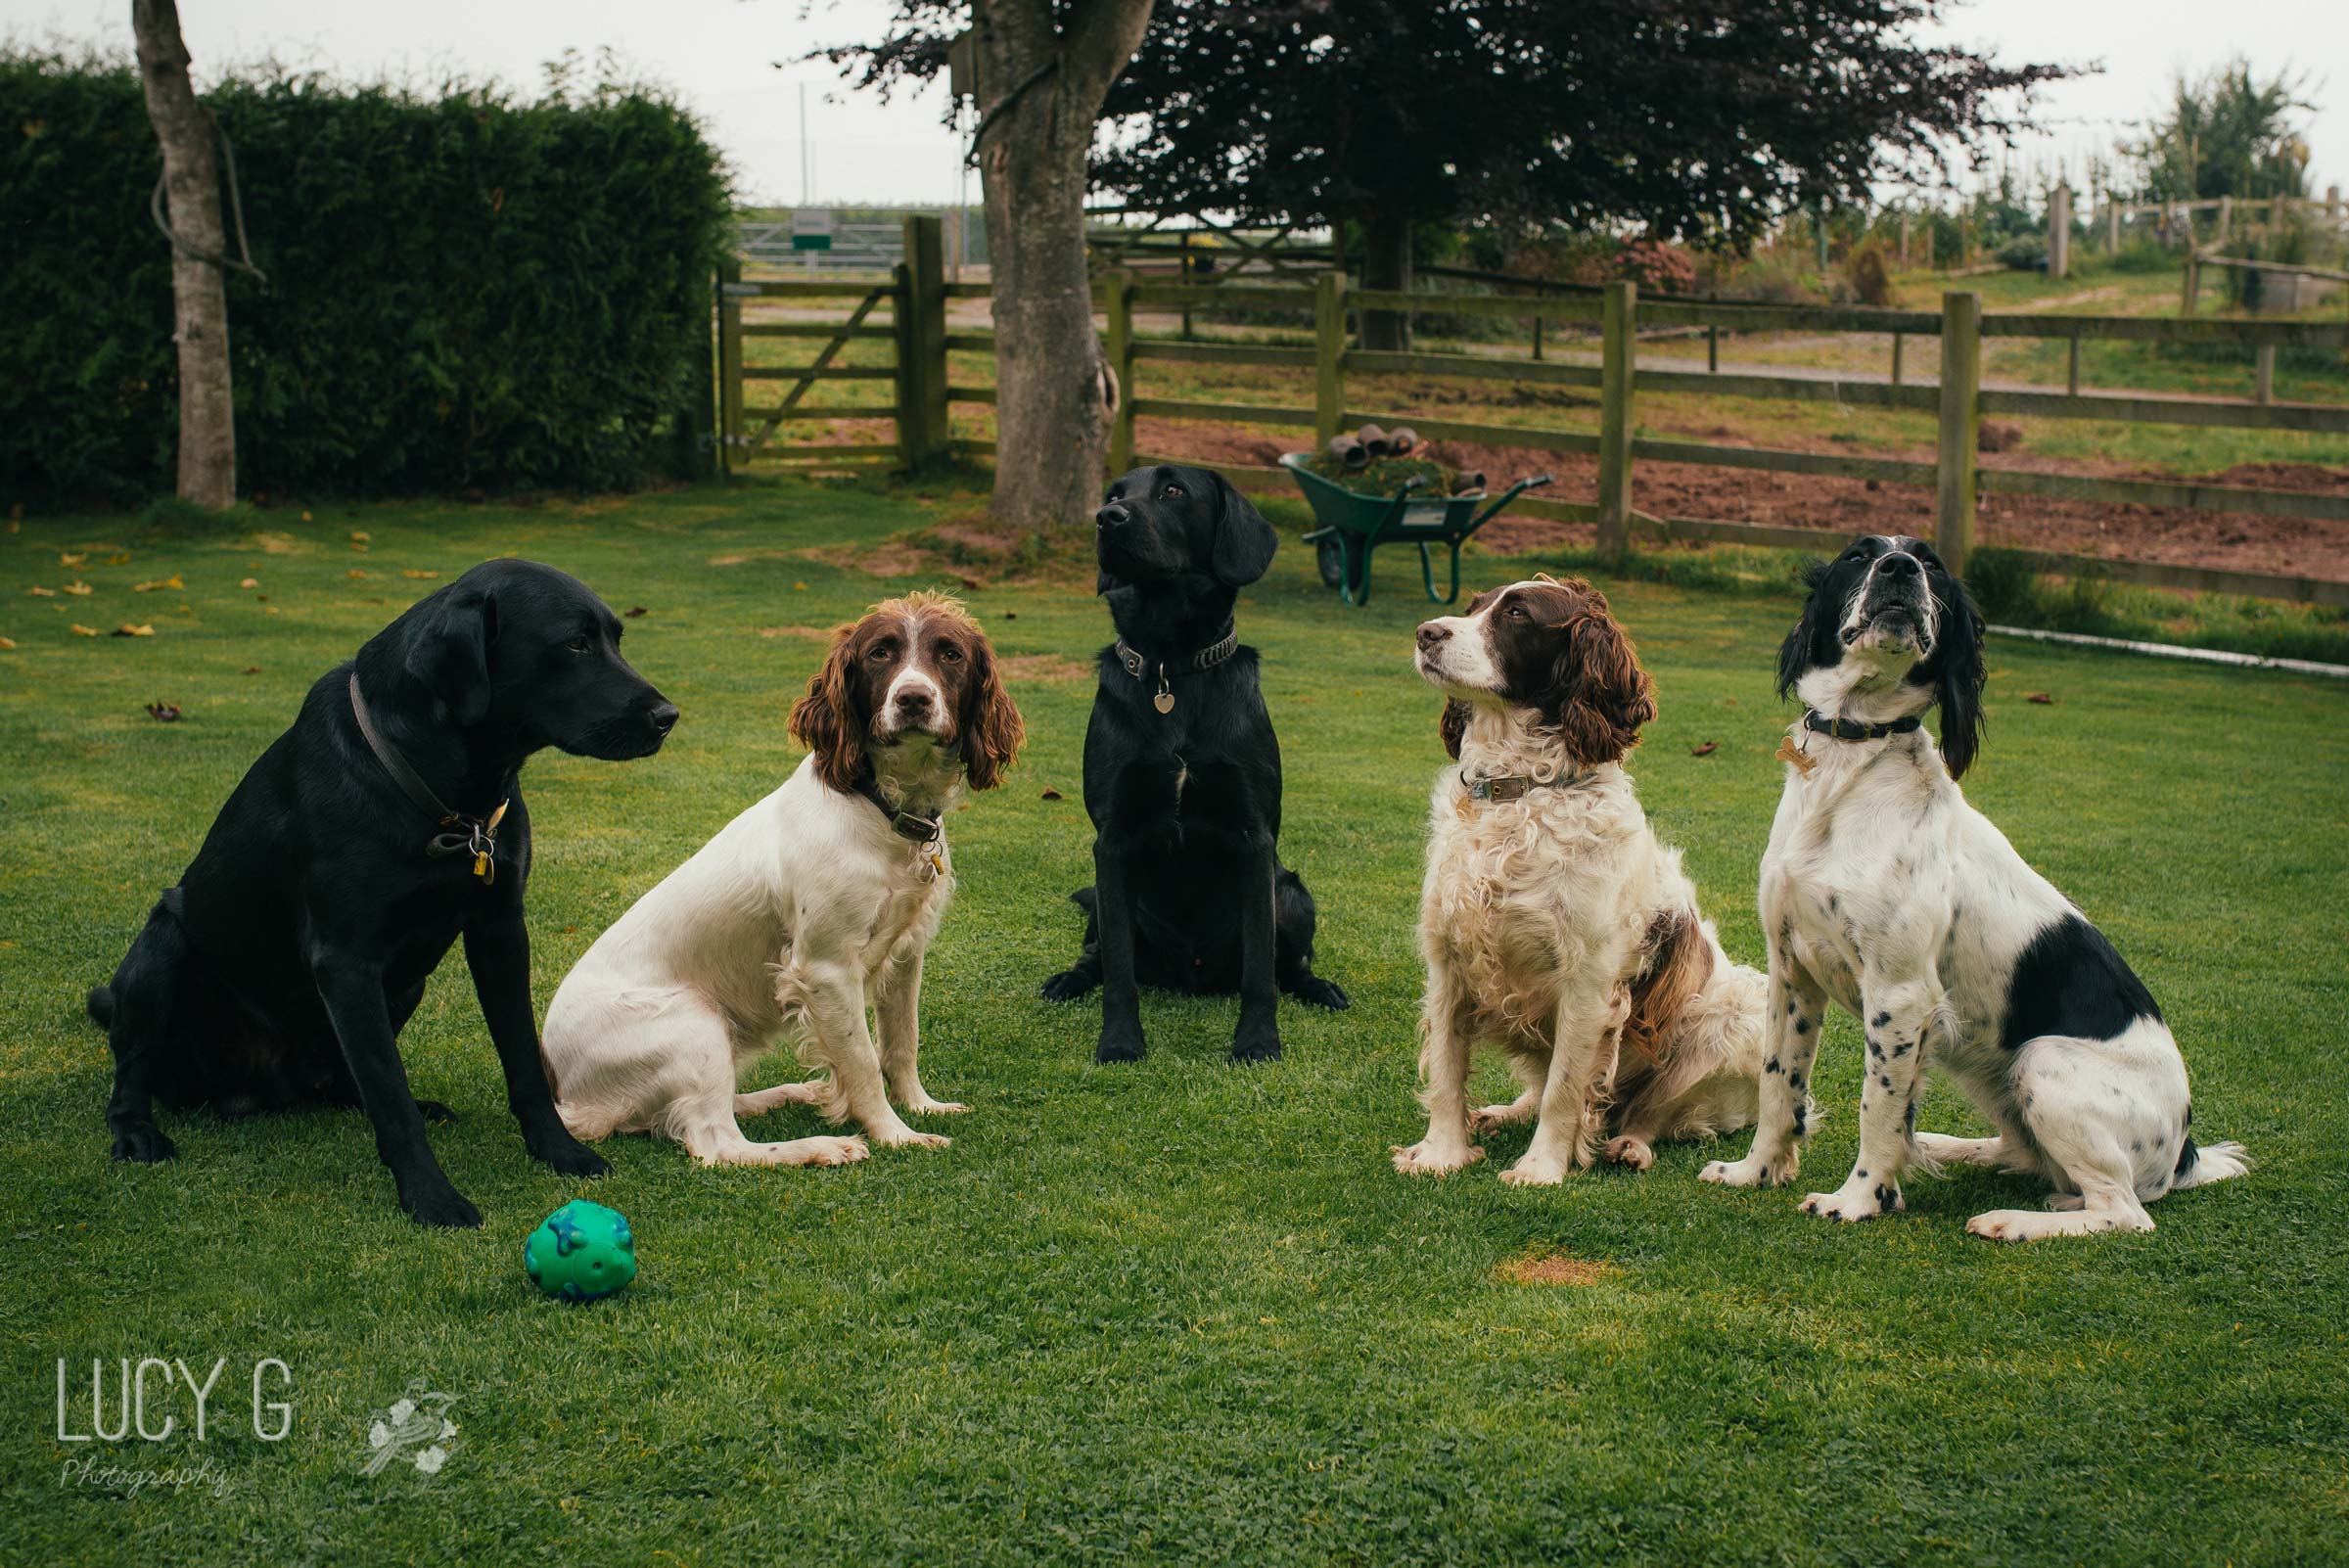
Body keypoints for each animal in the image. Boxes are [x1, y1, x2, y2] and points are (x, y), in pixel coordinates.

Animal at [89, 556, 681, 1229]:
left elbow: (523, 1061)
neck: (443, 788)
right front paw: (430, 1195)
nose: (668, 717)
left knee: (350, 1084)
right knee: (131, 1075)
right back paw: (136, 1133)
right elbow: (390, 1100)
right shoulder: (345, 960)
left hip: (405, 984)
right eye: (575, 644)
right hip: (160, 949)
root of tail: (260, 1091)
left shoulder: (501, 930)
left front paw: (559, 1151)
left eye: (615, 639)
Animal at [1042, 460, 1353, 1060]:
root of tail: (1192, 975)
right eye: (1114, 494)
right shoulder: (1110, 842)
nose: (1107, 518)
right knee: (1098, 956)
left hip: (1291, 893)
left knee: (1289, 965)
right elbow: (1119, 972)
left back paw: (1319, 988)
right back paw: (1068, 980)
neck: (1172, 667)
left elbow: (1260, 971)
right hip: (1106, 906)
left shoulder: (1253, 837)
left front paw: (1257, 1043)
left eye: (1173, 490)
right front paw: (1120, 1043)